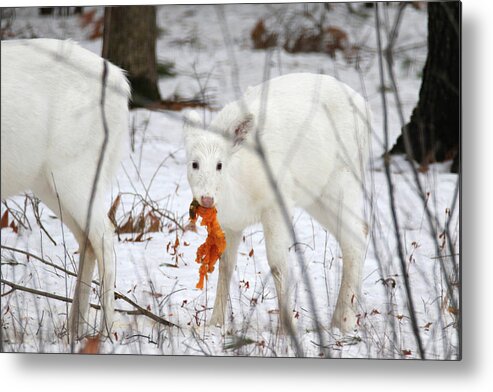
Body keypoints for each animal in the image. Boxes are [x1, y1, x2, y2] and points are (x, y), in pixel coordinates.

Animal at [0, 40, 131, 340]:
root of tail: (122, 83)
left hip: (74, 167)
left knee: (104, 234)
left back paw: (106, 332)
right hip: (46, 180)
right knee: (87, 238)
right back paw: (74, 329)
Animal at [183, 72, 368, 332]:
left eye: (220, 164)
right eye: (194, 163)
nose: (207, 199)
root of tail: (367, 109)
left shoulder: (277, 202)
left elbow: (278, 265)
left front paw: (286, 329)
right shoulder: (230, 222)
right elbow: (225, 266)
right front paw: (215, 323)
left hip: (344, 179)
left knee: (356, 237)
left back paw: (344, 321)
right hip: (316, 196)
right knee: (356, 234)